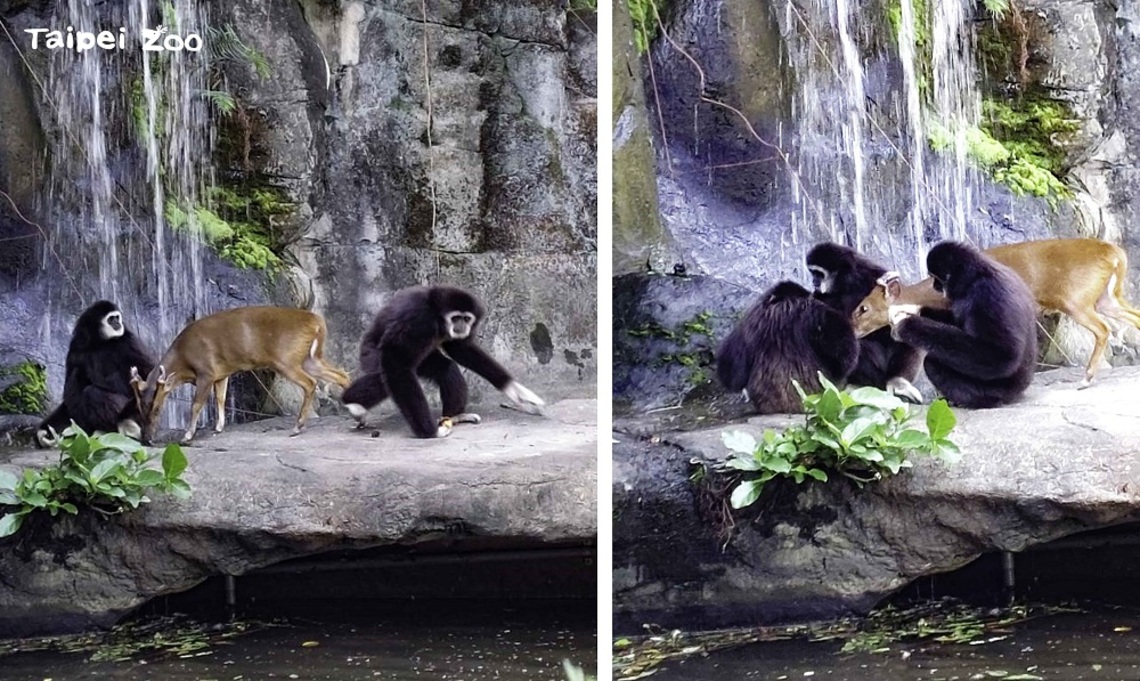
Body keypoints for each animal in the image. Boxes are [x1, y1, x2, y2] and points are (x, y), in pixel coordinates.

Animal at [36, 300, 156, 447]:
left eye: (117, 317)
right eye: (111, 319)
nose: (118, 323)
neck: (99, 343)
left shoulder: (129, 342)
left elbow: (151, 375)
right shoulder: (75, 349)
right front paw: (44, 432)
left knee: (92, 392)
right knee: (77, 374)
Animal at [341, 285, 545, 438]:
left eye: (466, 318)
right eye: (455, 318)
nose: (461, 325)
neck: (436, 313)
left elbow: (460, 348)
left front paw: (516, 391)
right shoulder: (419, 319)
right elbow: (396, 360)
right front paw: (430, 432)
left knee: (445, 369)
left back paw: (455, 416)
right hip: (371, 354)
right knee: (388, 373)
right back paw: (354, 404)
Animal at [805, 242, 924, 403]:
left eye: (818, 274)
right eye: (813, 273)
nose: (814, 281)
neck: (847, 285)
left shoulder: (877, 276)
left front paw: (899, 381)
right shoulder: (819, 297)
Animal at [890, 241, 1037, 408]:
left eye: (936, 278)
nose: (934, 286)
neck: (976, 277)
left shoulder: (988, 293)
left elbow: (1001, 356)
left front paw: (906, 325)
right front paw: (915, 310)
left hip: (993, 390)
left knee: (932, 362)